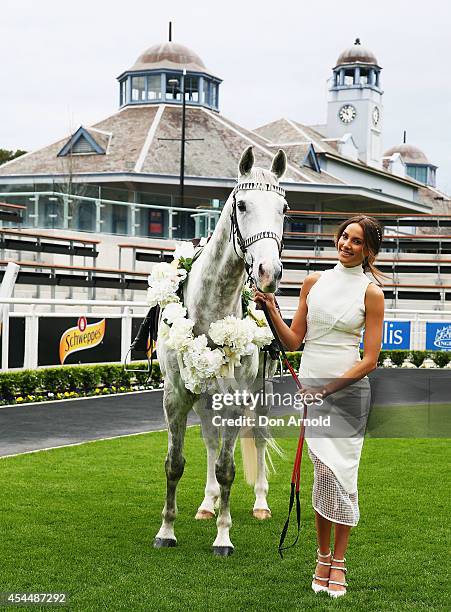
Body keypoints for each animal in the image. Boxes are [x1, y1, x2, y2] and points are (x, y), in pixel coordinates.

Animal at [155, 143, 288, 556]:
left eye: (284, 208)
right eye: (241, 204)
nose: (268, 273)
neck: (209, 308)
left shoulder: (235, 399)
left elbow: (228, 468)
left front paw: (224, 537)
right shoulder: (176, 396)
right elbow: (175, 463)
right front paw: (167, 530)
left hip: (260, 395)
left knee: (258, 438)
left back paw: (259, 504)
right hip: (203, 395)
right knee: (211, 440)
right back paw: (206, 503)